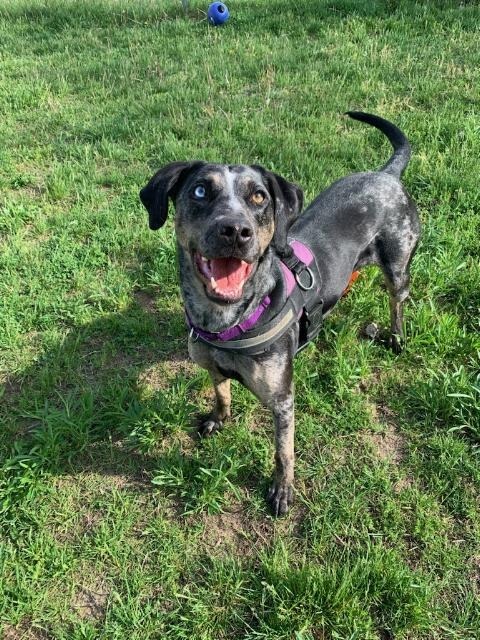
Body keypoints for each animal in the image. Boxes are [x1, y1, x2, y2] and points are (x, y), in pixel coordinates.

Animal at [140, 112, 420, 516]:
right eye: (200, 191)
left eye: (259, 196)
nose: (235, 230)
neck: (228, 323)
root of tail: (388, 174)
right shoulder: (211, 366)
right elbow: (222, 394)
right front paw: (218, 419)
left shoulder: (283, 401)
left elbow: (282, 451)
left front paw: (282, 490)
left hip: (398, 265)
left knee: (397, 300)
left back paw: (395, 336)